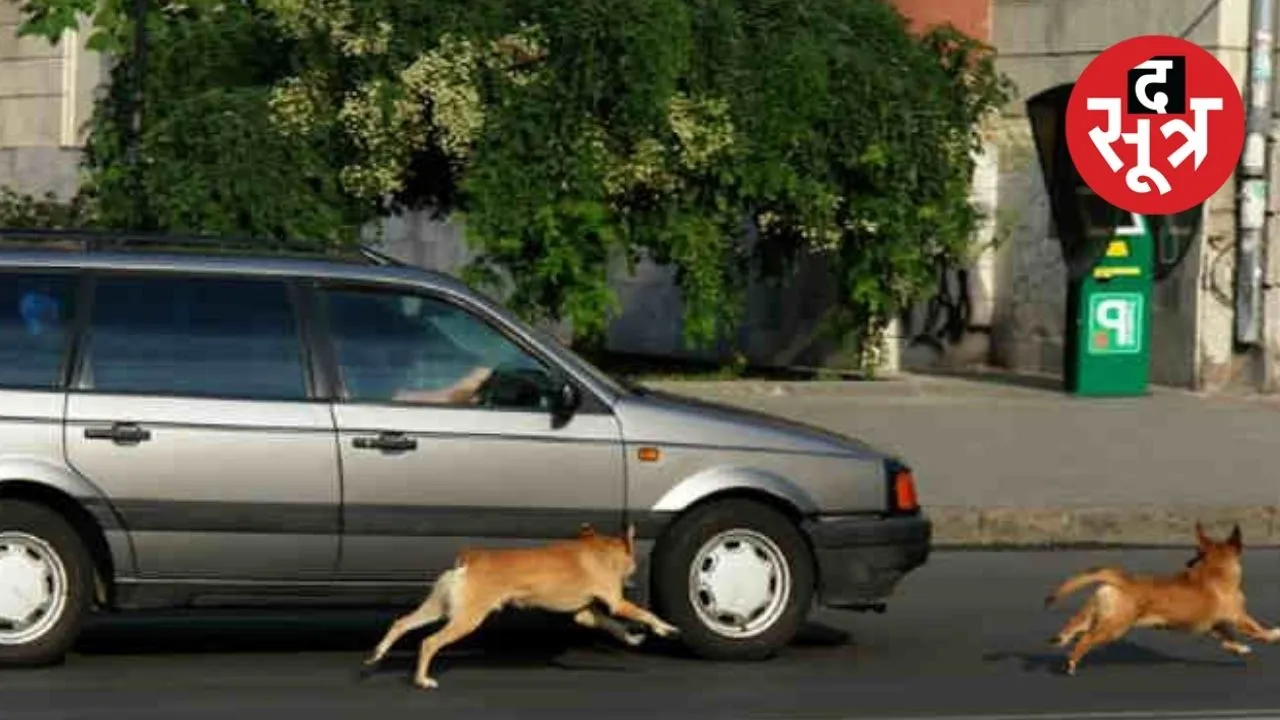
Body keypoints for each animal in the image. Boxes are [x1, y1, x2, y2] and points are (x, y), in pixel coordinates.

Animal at [360, 520, 680, 681]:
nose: (634, 570)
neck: (601, 550)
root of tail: (470, 560)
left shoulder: (586, 614)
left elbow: (615, 626)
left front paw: (634, 638)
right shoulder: (617, 603)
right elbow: (644, 614)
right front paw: (667, 628)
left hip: (437, 608)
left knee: (402, 623)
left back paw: (378, 653)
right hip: (467, 620)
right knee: (429, 643)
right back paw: (421, 680)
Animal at [1039, 520, 1280, 671]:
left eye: (1196, 553)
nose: (1188, 563)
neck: (1214, 570)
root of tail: (1120, 580)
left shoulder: (1216, 626)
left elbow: (1229, 641)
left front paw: (1240, 649)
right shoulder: (1240, 618)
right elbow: (1259, 632)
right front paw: (1274, 634)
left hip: (1095, 616)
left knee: (1073, 628)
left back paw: (1060, 642)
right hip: (1115, 627)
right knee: (1086, 639)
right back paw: (1071, 662)